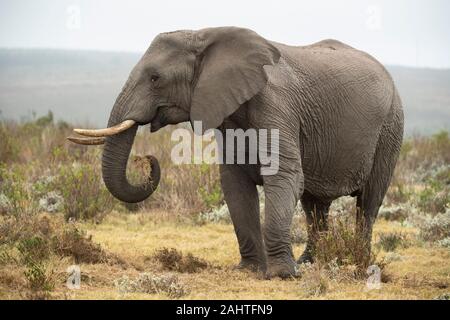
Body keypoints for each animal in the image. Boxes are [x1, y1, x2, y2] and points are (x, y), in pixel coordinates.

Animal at [69, 26, 404, 278]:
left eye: (155, 78)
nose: (148, 160)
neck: (205, 36)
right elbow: (235, 184)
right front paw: (250, 271)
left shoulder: (276, 104)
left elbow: (284, 176)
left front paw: (281, 275)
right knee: (314, 204)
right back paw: (311, 263)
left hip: (390, 126)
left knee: (368, 200)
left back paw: (358, 262)